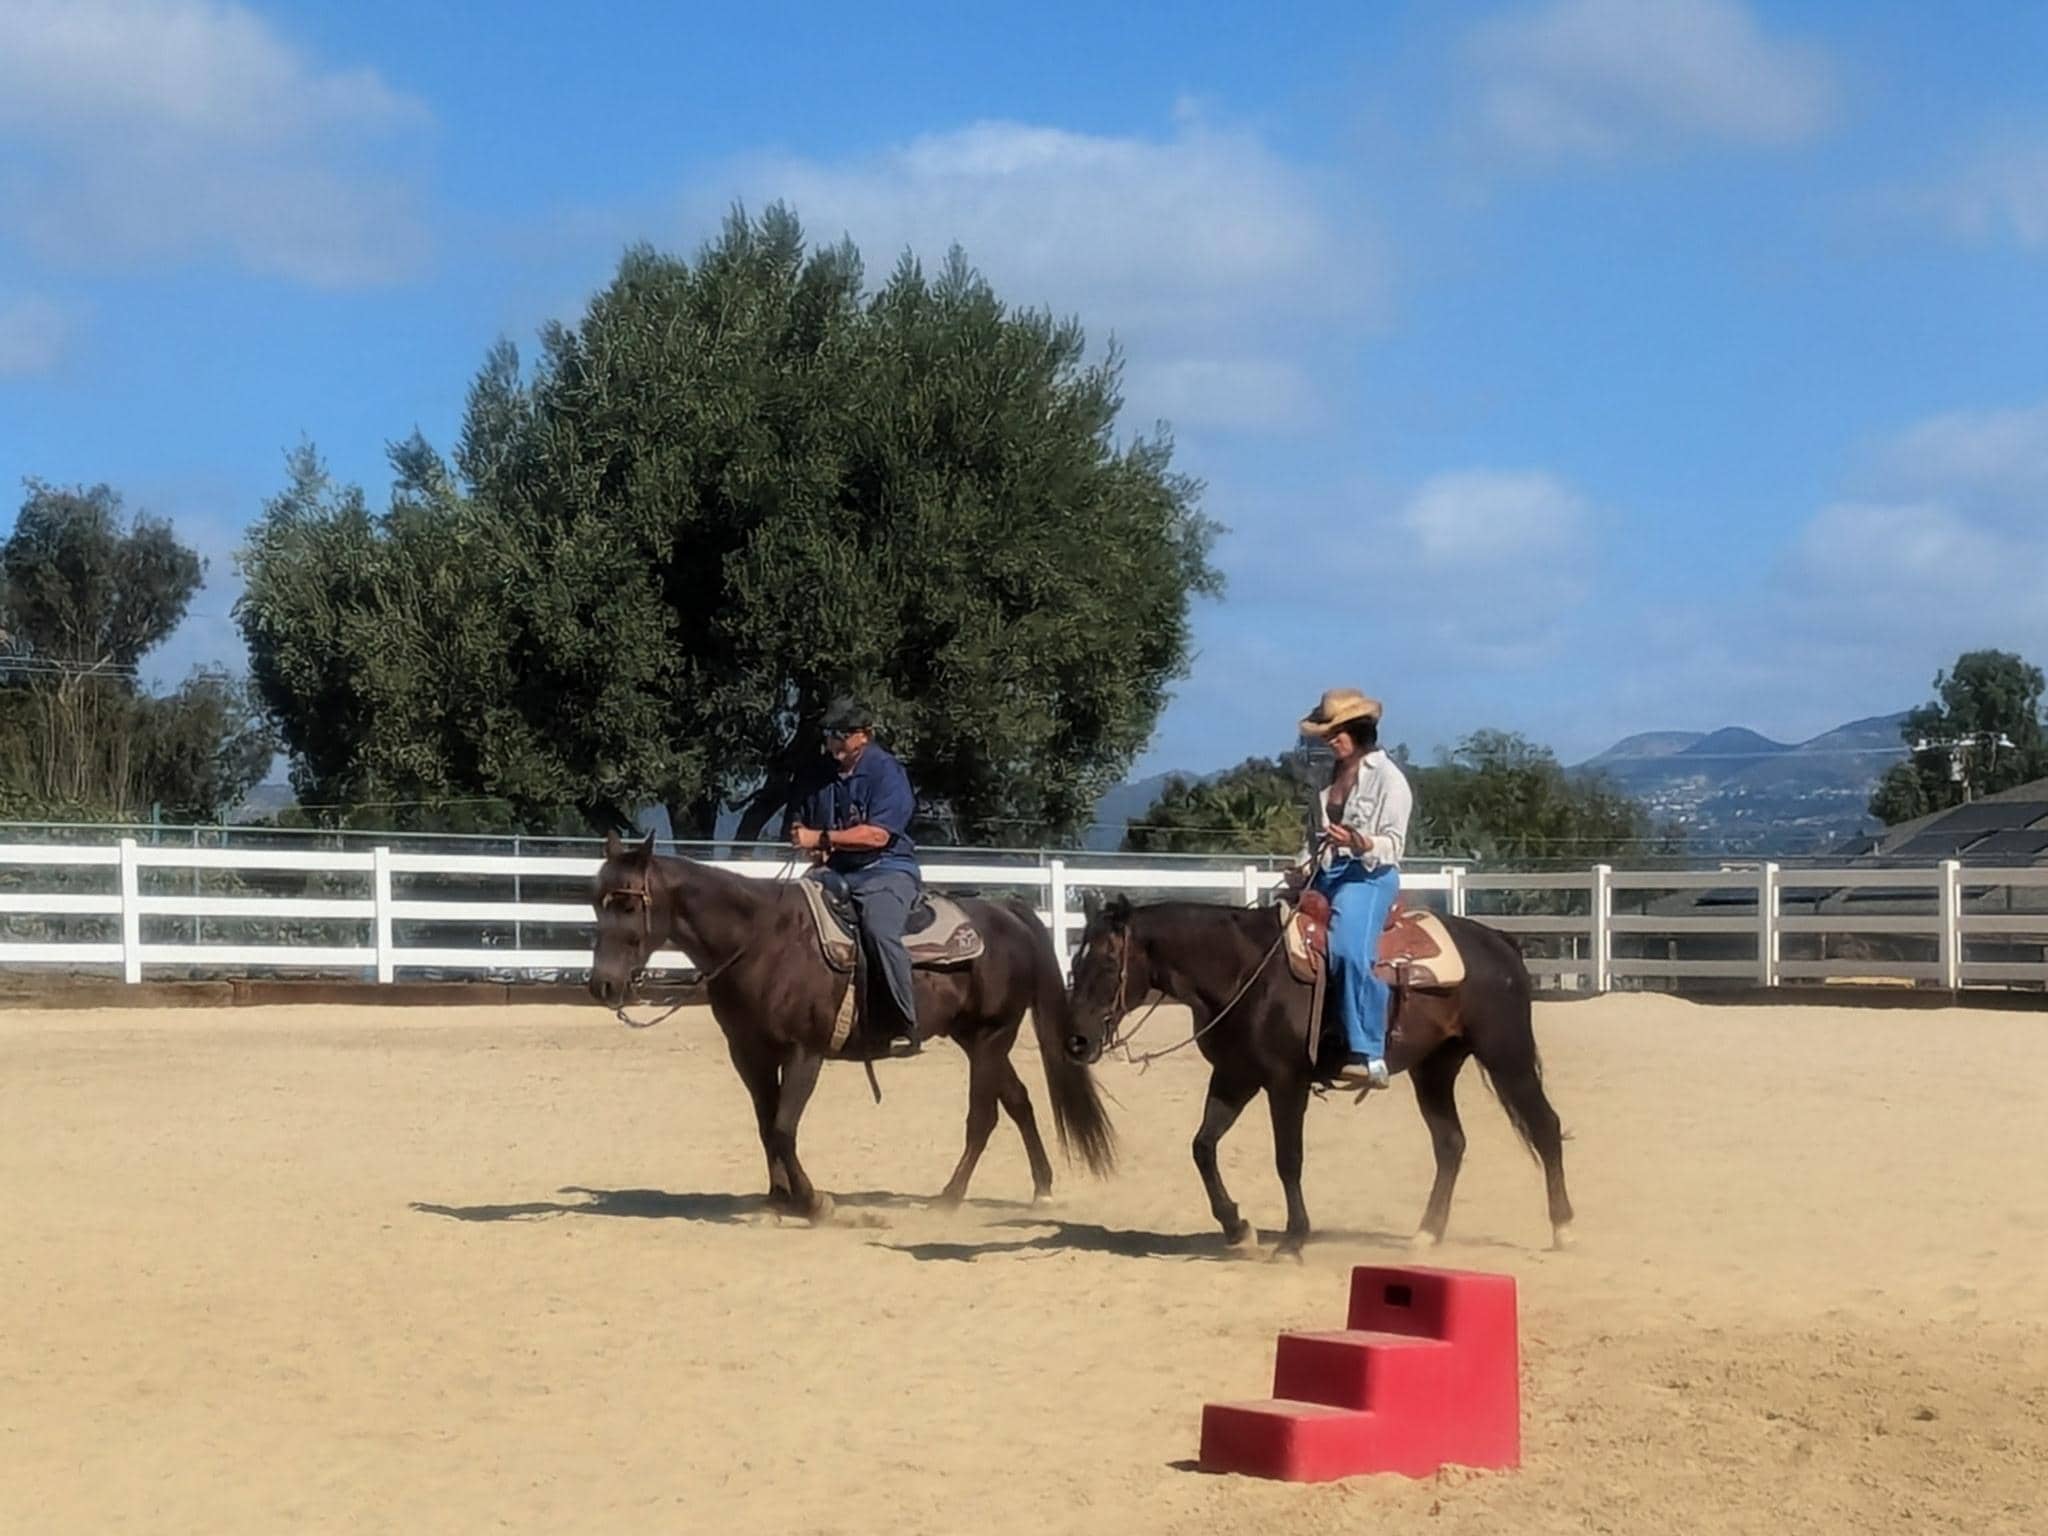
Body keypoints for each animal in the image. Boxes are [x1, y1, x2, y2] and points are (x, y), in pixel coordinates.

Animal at [586, 831, 1116, 1220]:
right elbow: (766, 1125)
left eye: (629, 904)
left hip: (991, 1036)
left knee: (983, 1117)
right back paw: (1042, 1188)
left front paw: (813, 1201)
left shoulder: (805, 1050)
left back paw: (949, 1197)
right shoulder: (750, 1053)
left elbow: (783, 1127)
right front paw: (779, 1199)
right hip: (975, 1038)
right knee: (1019, 1101)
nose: (603, 985)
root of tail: (1008, 911)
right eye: (595, 903)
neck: (761, 940)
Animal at [1064, 893, 1574, 1258]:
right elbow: (1203, 1147)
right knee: (1450, 1144)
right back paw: (1427, 1234)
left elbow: (1288, 1159)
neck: (1247, 970)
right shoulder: (1234, 1076)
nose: (1077, 1042)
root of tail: (1500, 942)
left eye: (1107, 962)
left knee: (1545, 1126)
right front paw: (1238, 1228)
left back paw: (1563, 1227)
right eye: (1073, 962)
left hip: (1507, 1055)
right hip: (1435, 1068)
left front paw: (1293, 1240)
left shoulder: (1285, 1082)